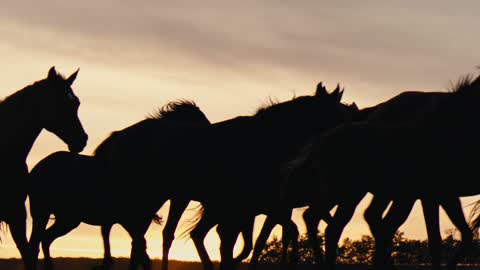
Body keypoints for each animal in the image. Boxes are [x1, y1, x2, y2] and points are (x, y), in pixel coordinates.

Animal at [29, 100, 209, 270]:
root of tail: (37, 168)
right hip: (46, 214)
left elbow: (138, 252)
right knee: (38, 242)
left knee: (43, 240)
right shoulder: (129, 219)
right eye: (198, 121)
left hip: (64, 219)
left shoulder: (136, 221)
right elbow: (139, 251)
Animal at [91, 83, 356, 270]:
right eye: (338, 114)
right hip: (145, 197)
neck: (263, 140)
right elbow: (232, 246)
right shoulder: (240, 210)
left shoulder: (247, 210)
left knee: (142, 236)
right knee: (135, 233)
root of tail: (118, 136)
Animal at [284, 74, 480, 270]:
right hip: (347, 192)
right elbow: (436, 240)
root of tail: (320, 140)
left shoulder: (445, 194)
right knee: (331, 223)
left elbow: (464, 235)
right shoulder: (431, 195)